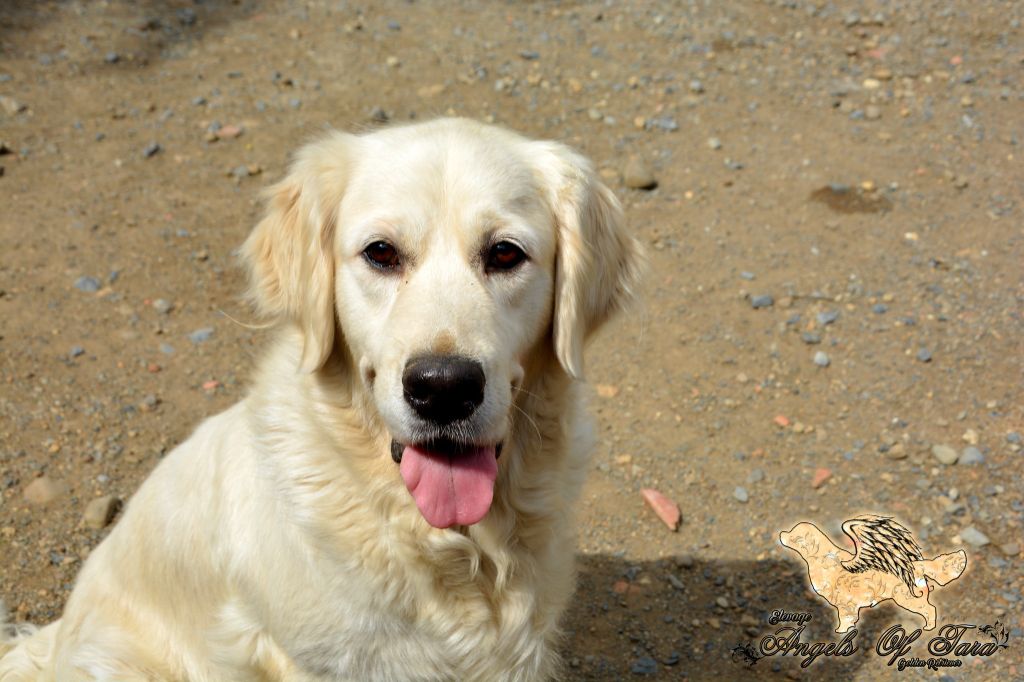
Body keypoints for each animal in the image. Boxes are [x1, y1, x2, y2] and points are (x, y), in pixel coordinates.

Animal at [782, 516, 966, 630]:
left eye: (795, 537)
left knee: (930, 609)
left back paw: (929, 626)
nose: (782, 533)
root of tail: (914, 565)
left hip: (908, 599)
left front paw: (842, 631)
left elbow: (846, 620)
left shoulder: (845, 605)